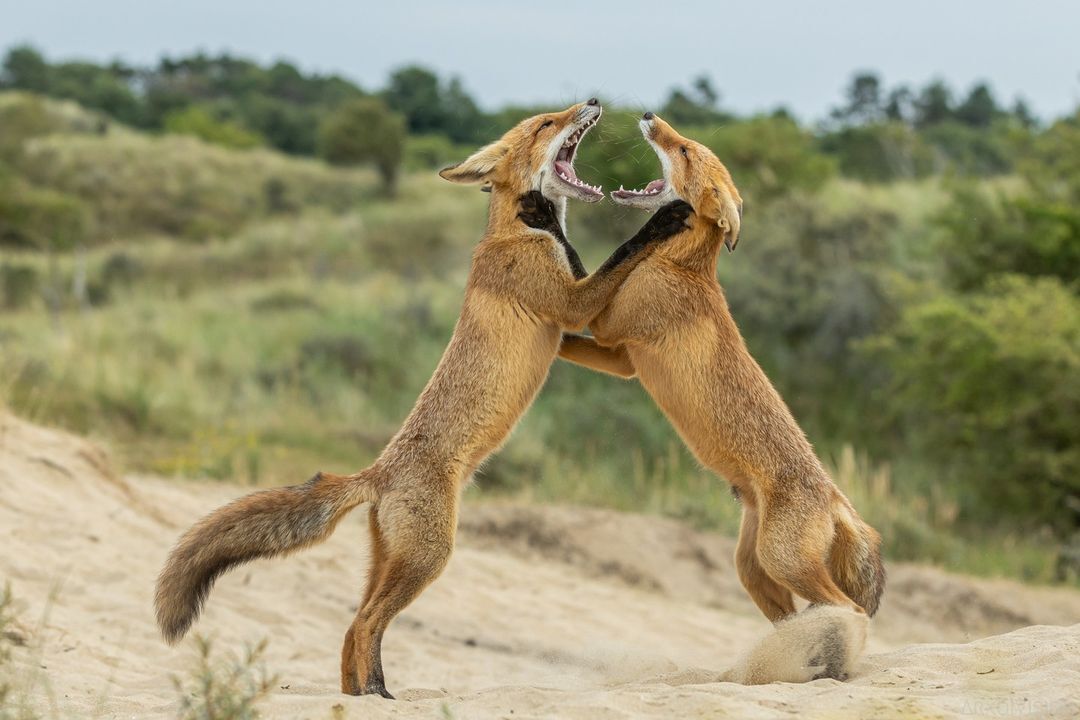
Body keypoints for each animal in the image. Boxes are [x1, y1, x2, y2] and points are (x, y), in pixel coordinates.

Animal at [152, 99, 691, 699]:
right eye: (545, 124)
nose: (592, 100)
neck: (517, 236)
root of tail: (376, 473)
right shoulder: (572, 305)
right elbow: (620, 254)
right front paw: (662, 220)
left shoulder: (571, 306)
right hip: (430, 556)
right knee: (366, 622)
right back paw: (375, 694)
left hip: (389, 558)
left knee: (353, 627)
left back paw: (367, 695)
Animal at [527, 111, 881, 682]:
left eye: (685, 151)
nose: (650, 116)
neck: (676, 265)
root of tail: (835, 498)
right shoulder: (622, 359)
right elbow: (566, 332)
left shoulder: (610, 332)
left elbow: (582, 304)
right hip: (752, 569)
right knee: (794, 617)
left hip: (783, 560)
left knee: (845, 610)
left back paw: (824, 659)